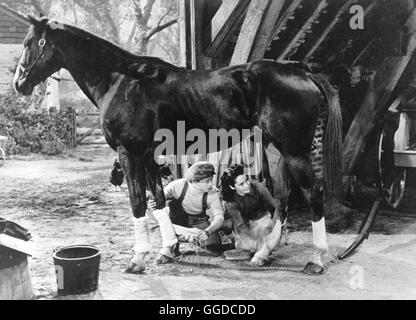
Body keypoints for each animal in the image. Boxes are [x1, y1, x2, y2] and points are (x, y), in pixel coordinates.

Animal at [14, 16, 342, 274]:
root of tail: (302, 71)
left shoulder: (130, 154)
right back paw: (262, 254)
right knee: (284, 198)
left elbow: (137, 203)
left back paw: (316, 260)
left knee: (312, 194)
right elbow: (158, 201)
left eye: (30, 43)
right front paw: (168, 249)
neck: (121, 81)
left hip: (294, 151)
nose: (19, 84)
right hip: (278, 150)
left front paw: (138, 259)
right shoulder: (148, 155)